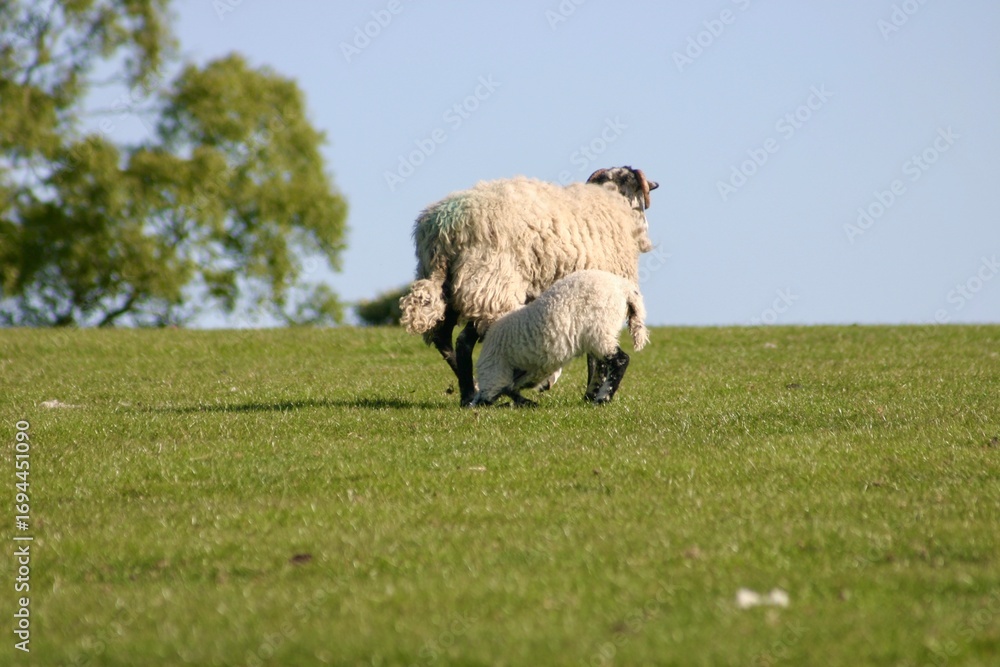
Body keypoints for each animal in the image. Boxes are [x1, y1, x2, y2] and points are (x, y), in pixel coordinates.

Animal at [469, 269, 649, 407]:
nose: (546, 387)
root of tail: (623, 288)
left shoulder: (497, 369)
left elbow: (500, 390)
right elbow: (510, 389)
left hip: (599, 330)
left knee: (620, 360)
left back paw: (602, 399)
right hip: (600, 334)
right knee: (603, 365)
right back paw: (592, 396)